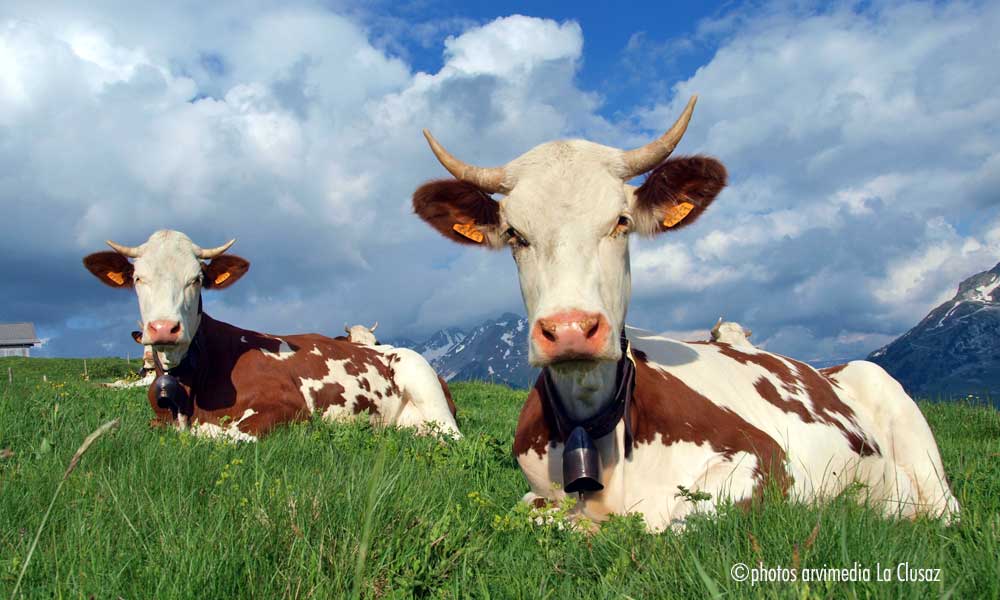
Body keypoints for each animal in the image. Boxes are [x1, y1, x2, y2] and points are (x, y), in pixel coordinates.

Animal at [83, 230, 461, 441]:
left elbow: (224, 436)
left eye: (197, 279)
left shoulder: (289, 407)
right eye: (138, 278)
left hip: (424, 384)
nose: (163, 328)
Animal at [411, 95, 959, 530]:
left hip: (899, 412)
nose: (570, 329)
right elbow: (534, 511)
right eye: (515, 235)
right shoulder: (535, 490)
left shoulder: (766, 461)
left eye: (622, 222)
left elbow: (676, 522)